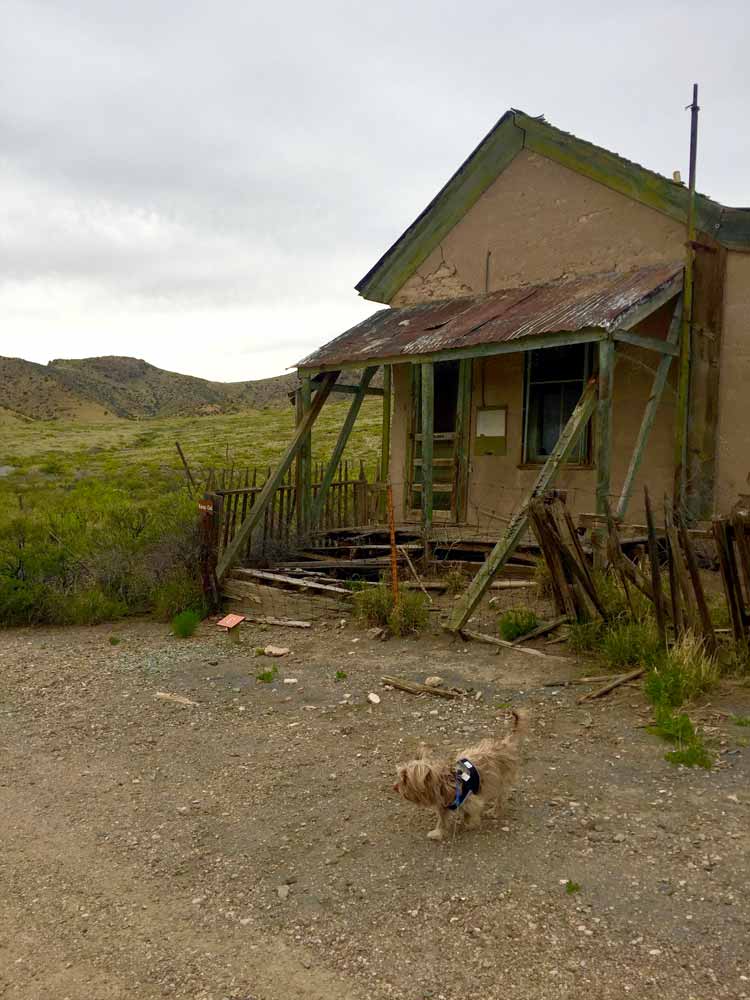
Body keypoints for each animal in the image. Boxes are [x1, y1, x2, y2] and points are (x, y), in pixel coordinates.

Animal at [394, 708, 528, 840]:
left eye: (405, 778)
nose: (394, 787)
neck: (443, 781)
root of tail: (506, 743)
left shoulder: (470, 800)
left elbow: (470, 812)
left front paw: (469, 823)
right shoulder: (443, 805)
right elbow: (442, 820)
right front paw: (439, 832)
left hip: (502, 779)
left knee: (501, 797)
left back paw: (495, 811)